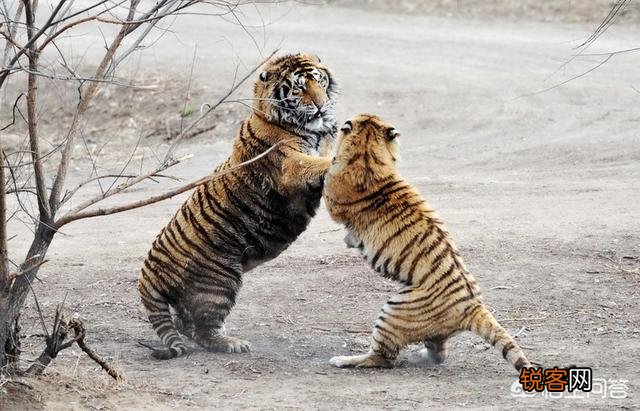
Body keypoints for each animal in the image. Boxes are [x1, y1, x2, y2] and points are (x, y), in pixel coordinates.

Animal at [138, 53, 337, 359]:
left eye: (320, 81)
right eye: (299, 87)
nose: (320, 104)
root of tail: (148, 274)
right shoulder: (288, 164)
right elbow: (313, 164)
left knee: (187, 325)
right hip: (219, 282)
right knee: (203, 331)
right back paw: (233, 344)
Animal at [322, 114, 531, 371]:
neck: (367, 151)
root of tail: (473, 307)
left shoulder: (333, 197)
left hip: (394, 310)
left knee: (382, 358)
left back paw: (343, 360)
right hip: (431, 329)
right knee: (438, 352)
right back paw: (419, 356)